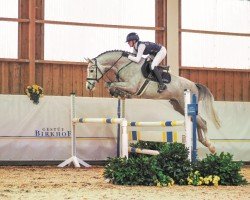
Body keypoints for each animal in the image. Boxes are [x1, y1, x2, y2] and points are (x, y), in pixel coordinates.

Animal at [85, 50, 221, 153]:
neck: (125, 65)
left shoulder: (131, 86)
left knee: (202, 122)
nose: (88, 86)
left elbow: (112, 84)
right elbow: (111, 85)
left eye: (91, 70)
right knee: (198, 121)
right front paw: (119, 94)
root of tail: (194, 85)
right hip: (179, 106)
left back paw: (211, 146)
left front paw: (119, 92)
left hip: (185, 104)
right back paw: (205, 143)